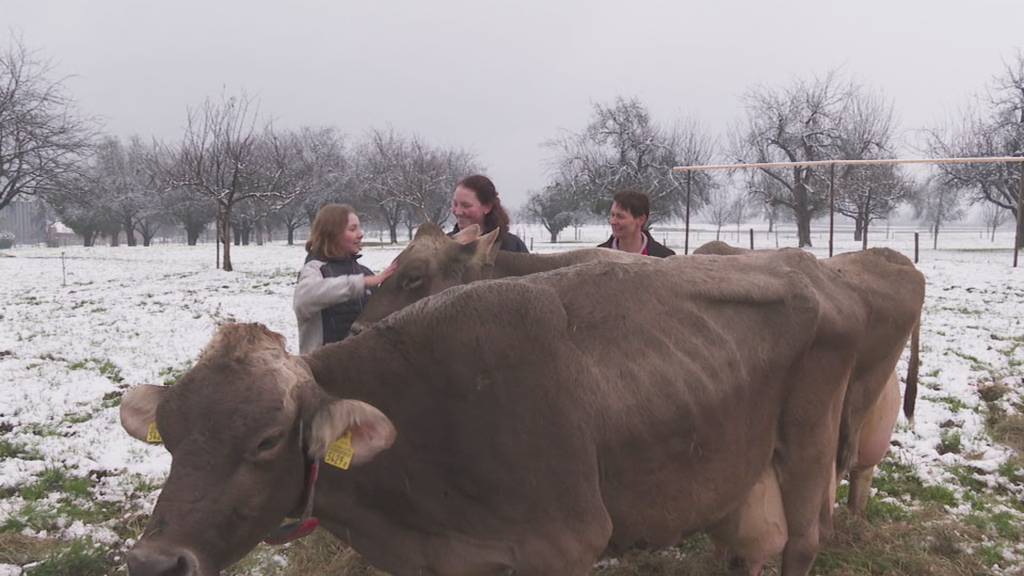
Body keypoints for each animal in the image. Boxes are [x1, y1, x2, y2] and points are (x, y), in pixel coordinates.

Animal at [117, 252, 872, 573]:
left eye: (268, 440)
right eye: (170, 438)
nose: (154, 564)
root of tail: (815, 270)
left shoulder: (563, 546)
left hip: (808, 440)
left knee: (800, 544)